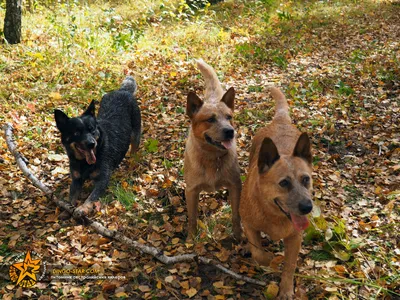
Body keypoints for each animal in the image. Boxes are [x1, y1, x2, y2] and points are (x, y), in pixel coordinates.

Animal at [53, 77, 141, 218]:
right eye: (76, 133)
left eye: (92, 129)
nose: (91, 143)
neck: (84, 162)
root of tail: (123, 90)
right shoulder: (76, 180)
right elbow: (71, 198)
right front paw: (67, 210)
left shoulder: (102, 180)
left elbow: (91, 197)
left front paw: (83, 208)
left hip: (135, 135)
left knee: (134, 151)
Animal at [184, 59, 241, 240]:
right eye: (210, 119)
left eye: (229, 117)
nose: (230, 131)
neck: (211, 158)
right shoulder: (191, 191)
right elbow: (192, 218)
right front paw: (191, 239)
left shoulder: (235, 185)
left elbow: (236, 214)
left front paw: (238, 237)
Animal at [239, 86, 314, 298]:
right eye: (284, 183)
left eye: (306, 179)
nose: (307, 207)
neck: (273, 216)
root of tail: (281, 121)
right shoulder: (249, 225)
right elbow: (259, 252)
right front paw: (269, 261)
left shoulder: (295, 238)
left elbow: (290, 266)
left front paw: (286, 289)